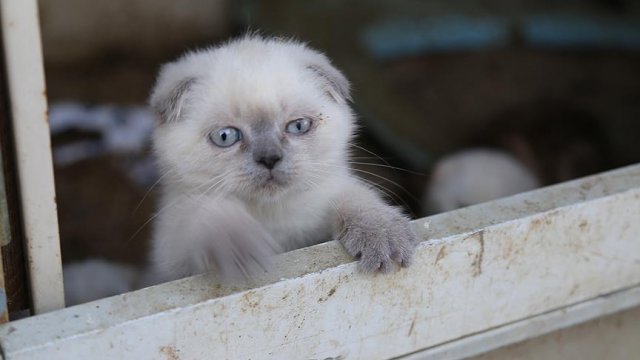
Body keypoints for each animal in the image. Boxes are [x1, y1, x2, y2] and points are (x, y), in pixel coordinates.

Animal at [149, 35, 420, 282]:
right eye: (226, 136)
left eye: (298, 126)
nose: (269, 158)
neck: (274, 216)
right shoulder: (171, 253)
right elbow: (207, 214)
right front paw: (240, 249)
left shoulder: (327, 196)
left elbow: (356, 198)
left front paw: (383, 237)